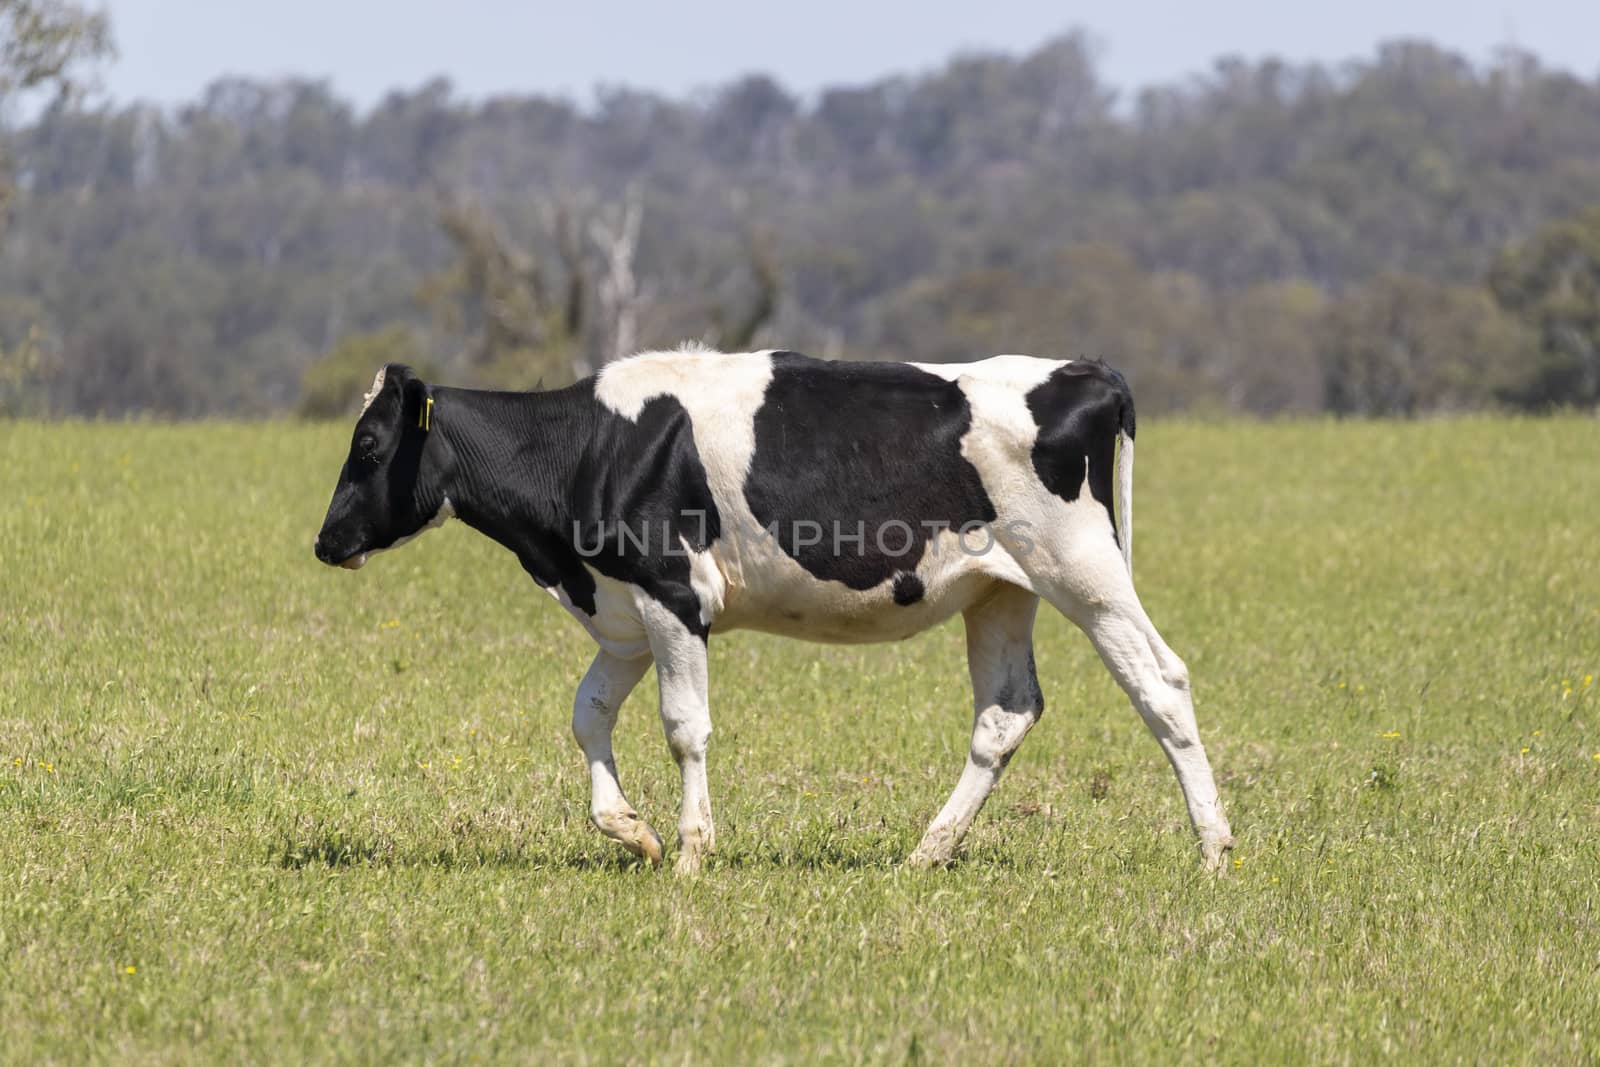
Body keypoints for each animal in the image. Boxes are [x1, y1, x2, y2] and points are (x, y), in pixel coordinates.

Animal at [312, 347, 1235, 870]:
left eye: (368, 444)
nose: (324, 542)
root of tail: (1084, 370)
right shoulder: (624, 609)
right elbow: (586, 715)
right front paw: (631, 830)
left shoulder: (674, 594)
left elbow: (684, 728)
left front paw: (690, 853)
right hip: (1001, 591)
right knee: (1005, 713)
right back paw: (926, 852)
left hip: (1085, 570)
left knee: (1162, 683)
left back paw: (1214, 849)